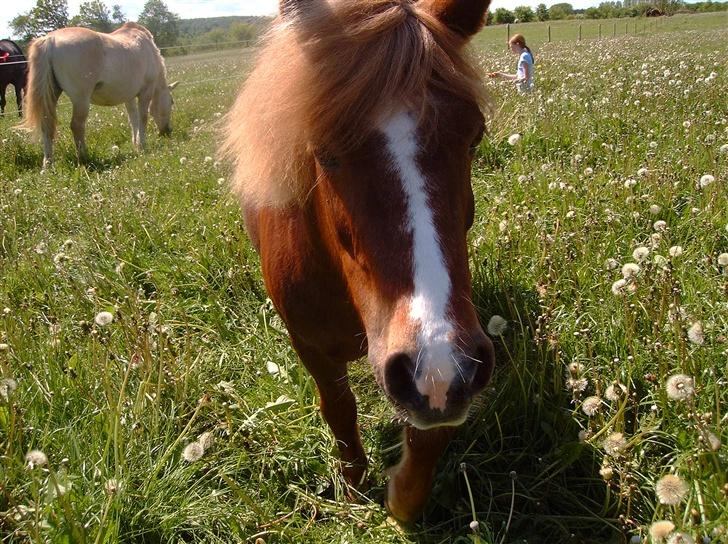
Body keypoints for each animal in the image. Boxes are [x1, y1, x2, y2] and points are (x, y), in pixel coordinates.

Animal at [21, 22, 176, 168]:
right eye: (171, 102)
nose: (167, 131)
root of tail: (51, 39)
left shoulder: (129, 97)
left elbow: (133, 119)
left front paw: (135, 143)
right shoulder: (145, 92)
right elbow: (143, 118)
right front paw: (142, 145)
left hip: (51, 95)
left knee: (46, 126)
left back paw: (48, 164)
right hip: (81, 100)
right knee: (77, 126)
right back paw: (84, 158)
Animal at [222, 0, 494, 524]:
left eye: (475, 136)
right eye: (324, 154)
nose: (436, 364)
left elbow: (431, 433)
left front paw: (401, 498)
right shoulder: (309, 344)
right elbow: (339, 408)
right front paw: (352, 487)